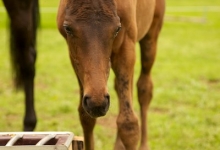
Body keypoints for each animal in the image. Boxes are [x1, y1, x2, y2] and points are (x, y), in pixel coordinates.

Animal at [57, 0, 164, 149]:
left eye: (117, 29)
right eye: (67, 28)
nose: (97, 103)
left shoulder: (126, 45)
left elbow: (129, 125)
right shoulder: (73, 56)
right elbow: (86, 117)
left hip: (150, 37)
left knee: (144, 88)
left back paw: (144, 146)